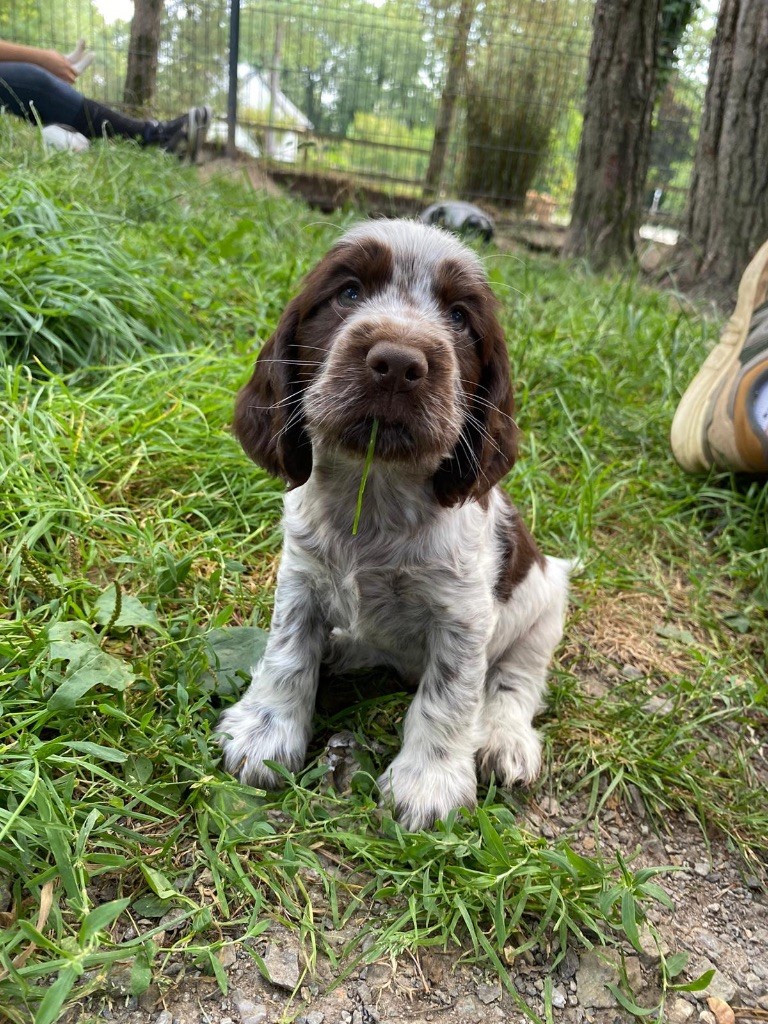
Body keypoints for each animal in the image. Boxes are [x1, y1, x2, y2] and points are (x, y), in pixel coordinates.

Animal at [218, 218, 573, 831]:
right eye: (348, 292)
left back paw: (504, 738)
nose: (400, 363)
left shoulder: (463, 617)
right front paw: (265, 733)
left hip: (547, 603)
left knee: (515, 681)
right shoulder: (300, 578)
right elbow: (287, 653)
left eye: (460, 318)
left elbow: (449, 697)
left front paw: (428, 783)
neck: (375, 491)